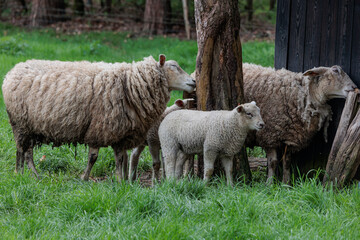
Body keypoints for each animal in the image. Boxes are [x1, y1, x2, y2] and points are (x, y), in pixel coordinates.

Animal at [1, 54, 195, 180]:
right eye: (173, 67)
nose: (193, 82)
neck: (130, 83)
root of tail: (12, 71)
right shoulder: (99, 128)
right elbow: (93, 158)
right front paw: (85, 178)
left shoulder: (121, 132)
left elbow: (120, 158)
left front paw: (121, 181)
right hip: (20, 123)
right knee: (22, 150)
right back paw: (25, 174)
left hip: (29, 125)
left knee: (25, 150)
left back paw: (27, 174)